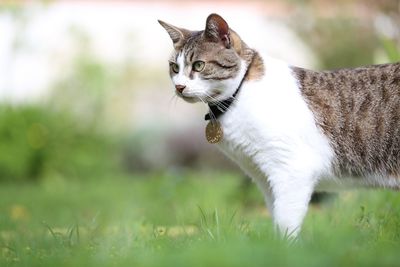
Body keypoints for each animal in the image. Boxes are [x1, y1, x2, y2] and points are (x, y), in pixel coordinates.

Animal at [159, 13, 400, 239]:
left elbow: (286, 221)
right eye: (174, 67)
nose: (179, 86)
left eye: (199, 65)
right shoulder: (264, 177)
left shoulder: (292, 168)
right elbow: (276, 216)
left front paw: (286, 248)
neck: (238, 95)